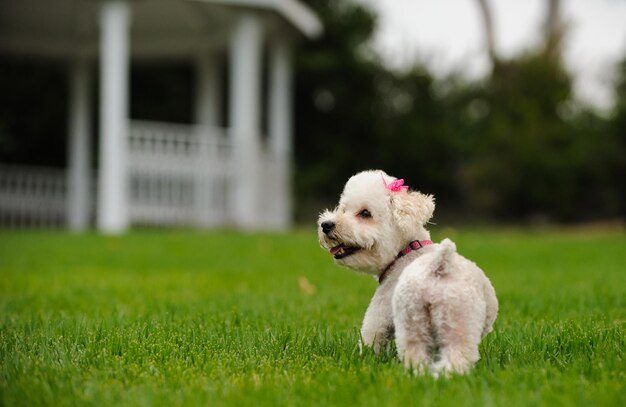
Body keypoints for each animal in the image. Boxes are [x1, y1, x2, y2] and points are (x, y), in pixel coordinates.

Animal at [316, 169, 498, 376]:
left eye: (365, 213)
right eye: (343, 209)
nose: (326, 225)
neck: (405, 253)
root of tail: (438, 265)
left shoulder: (379, 309)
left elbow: (370, 338)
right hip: (426, 323)